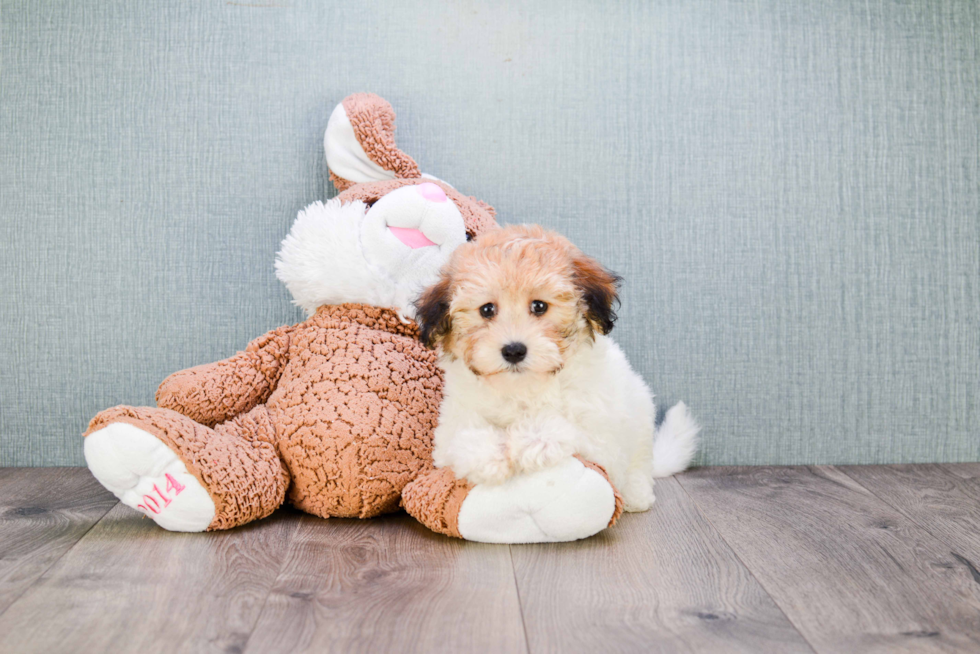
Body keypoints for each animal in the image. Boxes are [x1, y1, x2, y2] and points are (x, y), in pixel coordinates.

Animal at [418, 226, 700, 512]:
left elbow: (568, 426)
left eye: (539, 306)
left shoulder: (601, 438)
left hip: (640, 427)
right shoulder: (450, 426)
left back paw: (636, 495)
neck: (523, 389)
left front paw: (531, 440)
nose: (514, 350)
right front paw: (488, 457)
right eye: (487, 310)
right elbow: (463, 436)